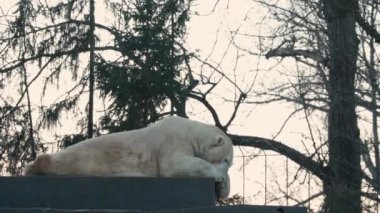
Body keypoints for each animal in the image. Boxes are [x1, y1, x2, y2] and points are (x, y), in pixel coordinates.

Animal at [24, 116, 232, 198]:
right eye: (227, 160)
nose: (224, 173)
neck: (190, 131)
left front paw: (223, 188)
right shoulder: (172, 141)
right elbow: (175, 164)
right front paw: (217, 176)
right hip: (86, 158)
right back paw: (33, 167)